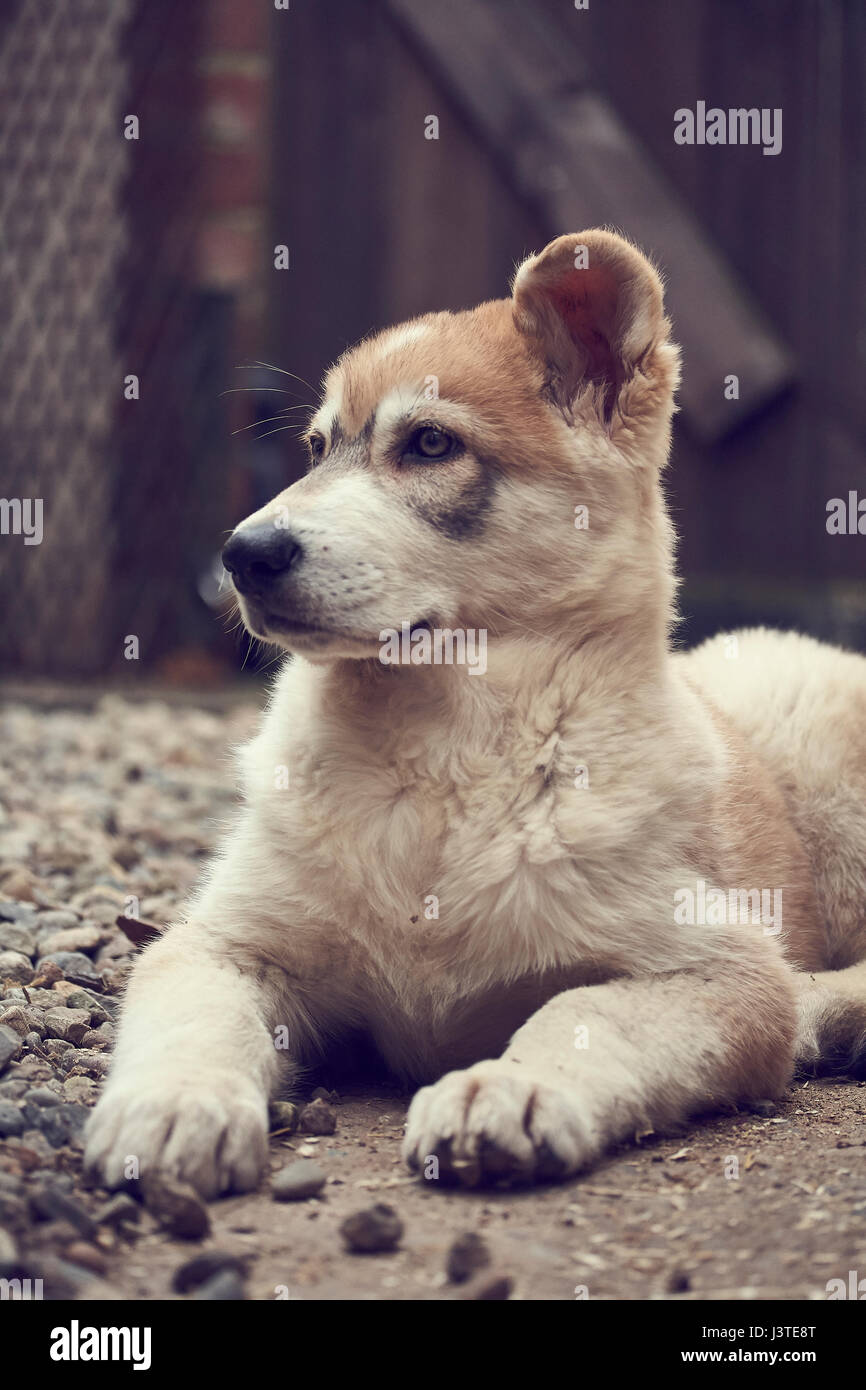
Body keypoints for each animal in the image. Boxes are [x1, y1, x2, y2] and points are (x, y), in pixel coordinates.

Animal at [84, 227, 866, 1195]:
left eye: (429, 444)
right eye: (316, 450)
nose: (243, 555)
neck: (439, 763)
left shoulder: (718, 969)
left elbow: (582, 1013)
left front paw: (509, 1088)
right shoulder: (217, 943)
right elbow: (195, 1011)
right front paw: (174, 1103)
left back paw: (821, 1011)